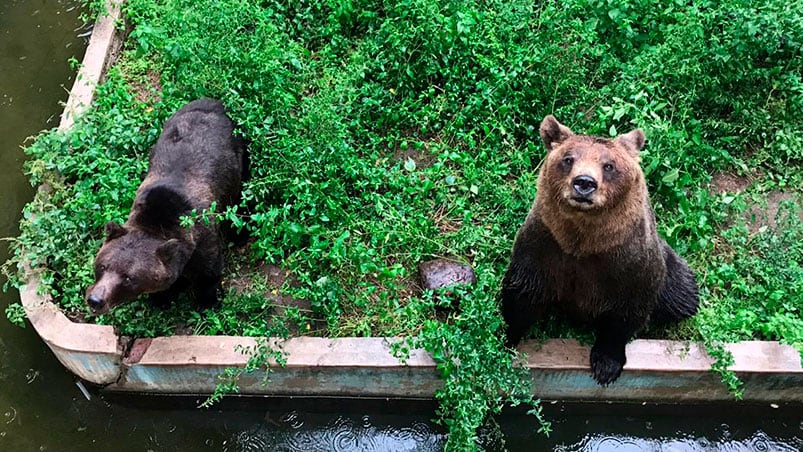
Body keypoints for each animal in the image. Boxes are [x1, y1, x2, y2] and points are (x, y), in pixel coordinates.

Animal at [85, 99, 245, 314]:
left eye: (128, 277)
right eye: (102, 266)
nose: (96, 299)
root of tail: (213, 101)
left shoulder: (203, 234)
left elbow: (209, 269)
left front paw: (208, 300)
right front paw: (161, 298)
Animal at [502, 115, 696, 384]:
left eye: (609, 165)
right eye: (568, 159)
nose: (584, 183)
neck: (585, 242)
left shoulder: (630, 262)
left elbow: (626, 313)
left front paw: (606, 365)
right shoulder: (544, 244)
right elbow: (523, 293)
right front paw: (505, 338)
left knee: (683, 296)